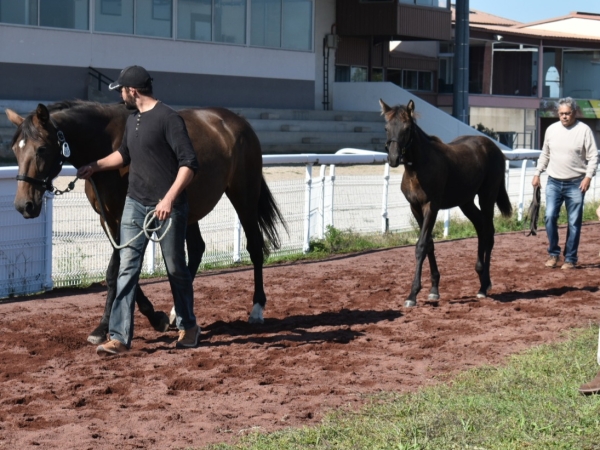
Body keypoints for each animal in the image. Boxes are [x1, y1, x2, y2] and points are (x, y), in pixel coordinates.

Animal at [4, 100, 286, 342]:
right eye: (15, 149)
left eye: (41, 148)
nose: (23, 205)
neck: (107, 144)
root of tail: (237, 121)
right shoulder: (108, 220)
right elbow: (123, 269)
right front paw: (154, 317)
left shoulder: (128, 217)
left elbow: (116, 271)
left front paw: (106, 327)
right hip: (188, 210)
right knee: (196, 250)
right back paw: (176, 312)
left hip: (244, 197)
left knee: (255, 247)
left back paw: (256, 309)